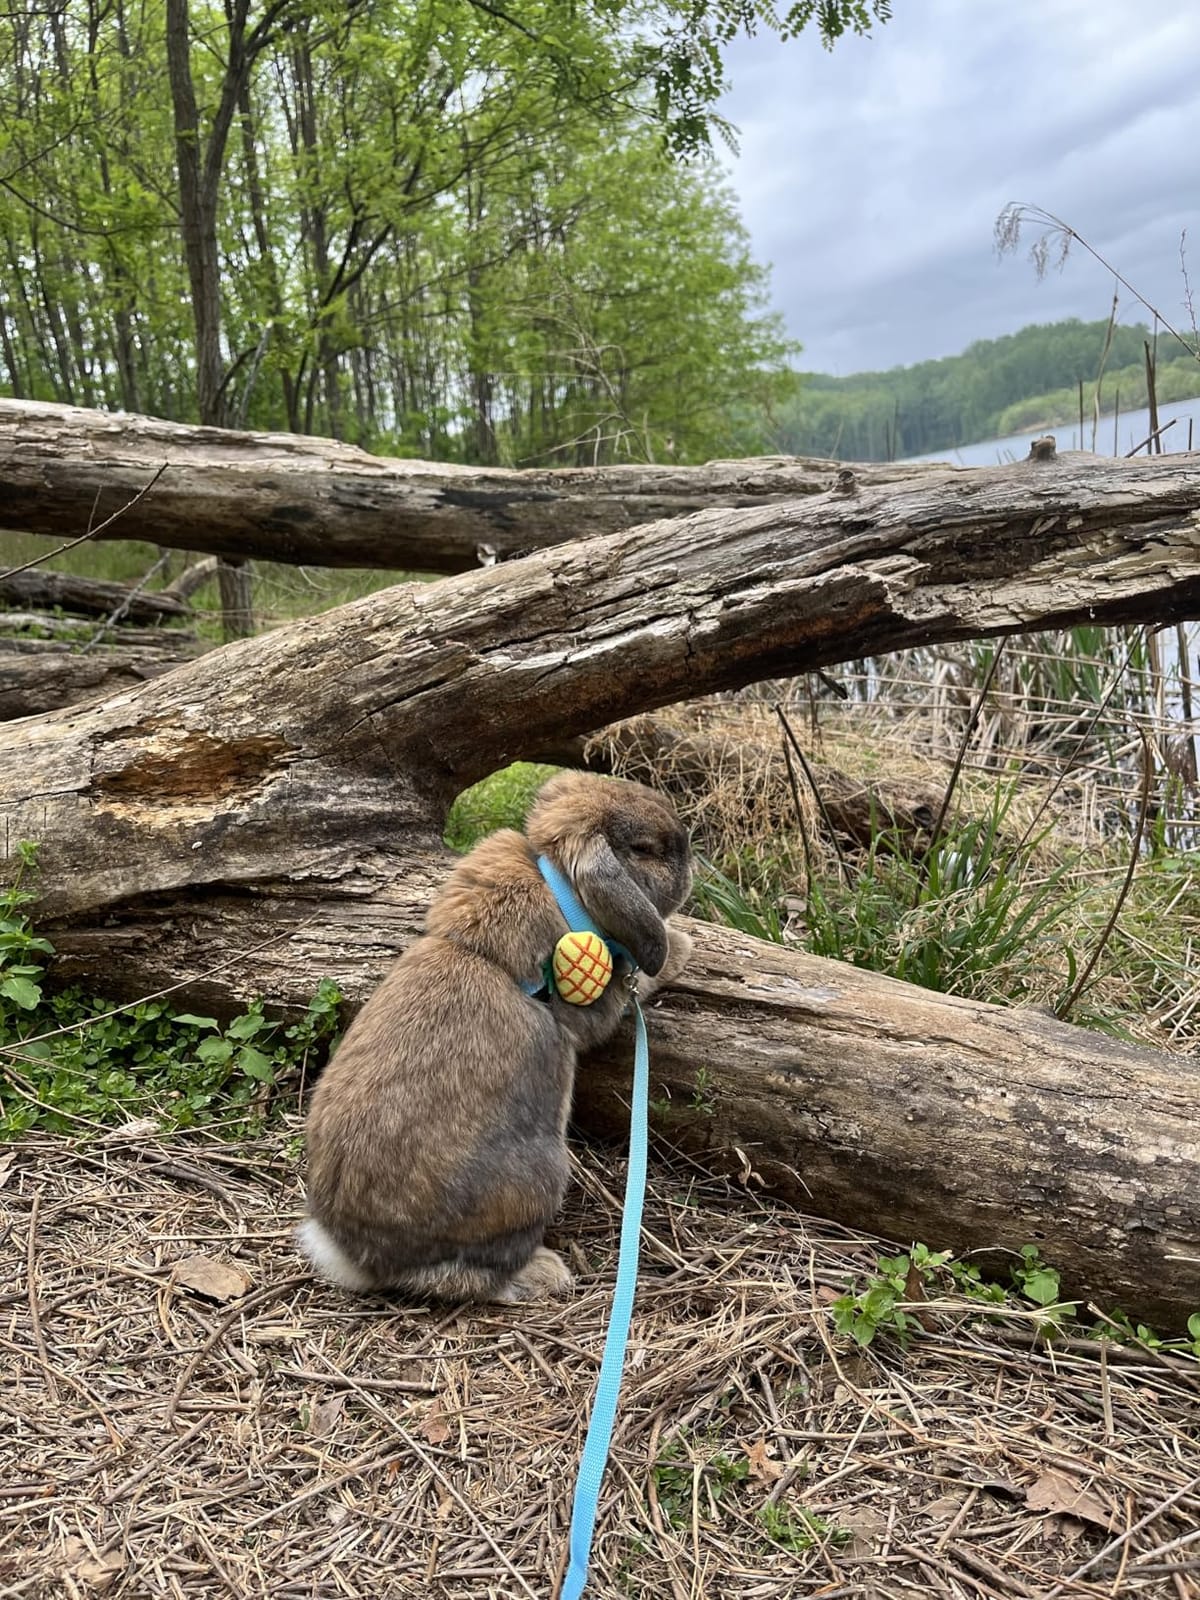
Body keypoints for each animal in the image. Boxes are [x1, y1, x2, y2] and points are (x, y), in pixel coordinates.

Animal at [297, 770, 693, 1304]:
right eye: (645, 849)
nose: (691, 859)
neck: (561, 886)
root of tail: (362, 1258)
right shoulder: (600, 1004)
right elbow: (641, 983)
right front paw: (686, 947)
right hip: (544, 1175)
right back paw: (544, 1273)